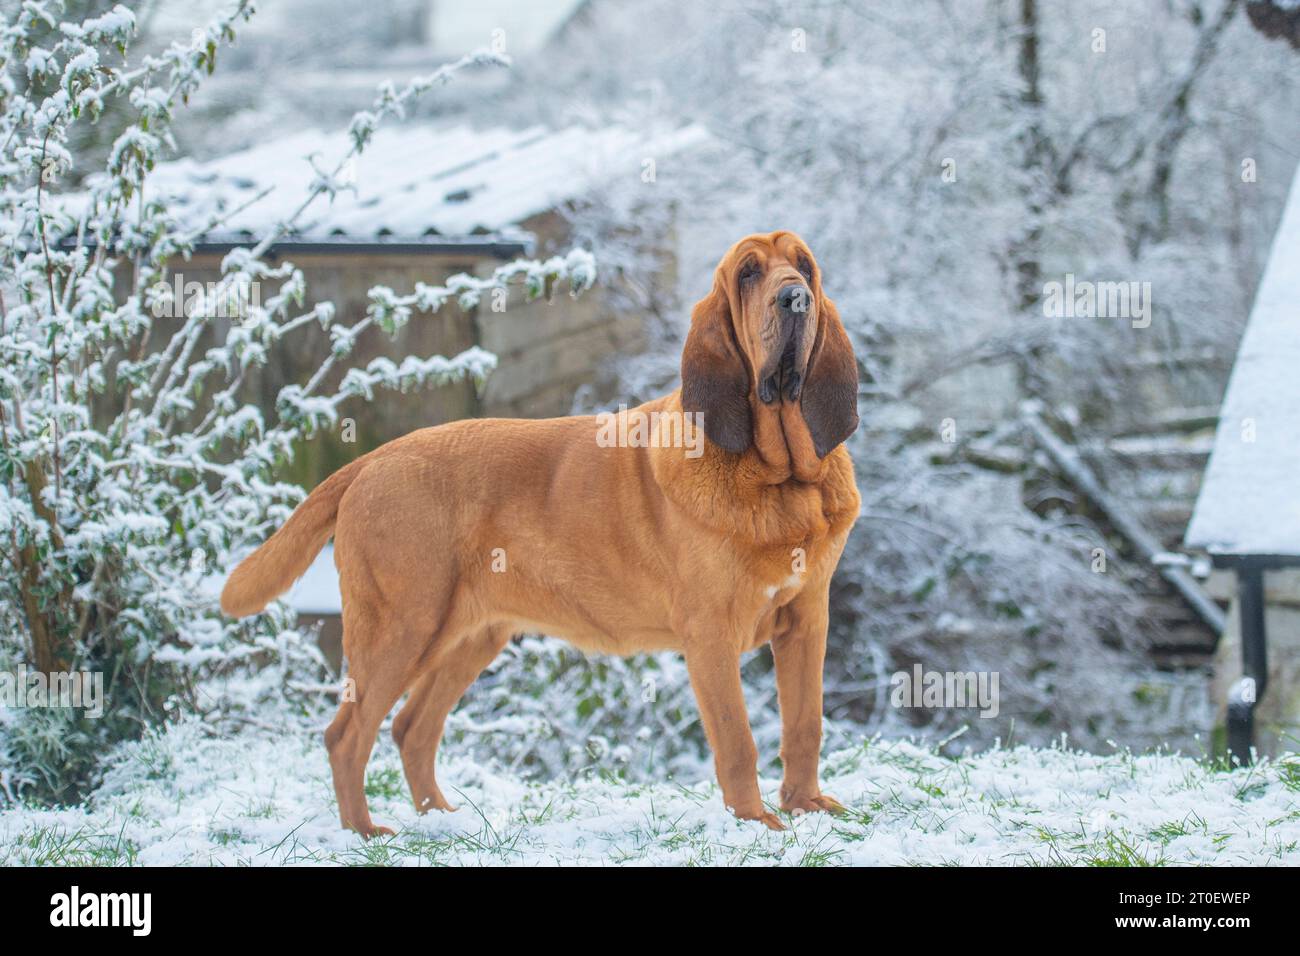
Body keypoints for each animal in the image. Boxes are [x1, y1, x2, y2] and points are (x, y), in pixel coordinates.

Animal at [220, 227, 863, 832]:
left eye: (804, 266)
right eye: (750, 273)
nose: (795, 298)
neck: (780, 480)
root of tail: (369, 460)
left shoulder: (807, 620)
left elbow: (804, 724)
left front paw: (807, 806)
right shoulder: (711, 635)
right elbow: (737, 739)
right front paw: (754, 822)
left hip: (469, 636)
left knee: (410, 727)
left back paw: (441, 819)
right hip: (400, 630)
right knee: (348, 734)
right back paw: (366, 832)